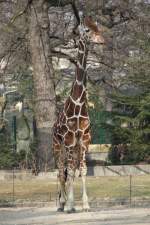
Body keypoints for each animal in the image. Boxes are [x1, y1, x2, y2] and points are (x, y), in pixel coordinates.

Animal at [52, 16, 104, 213]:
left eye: (98, 27)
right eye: (87, 30)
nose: (102, 40)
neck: (79, 103)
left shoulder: (84, 139)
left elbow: (80, 170)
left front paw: (86, 205)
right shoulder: (69, 140)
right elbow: (70, 172)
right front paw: (70, 205)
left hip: (71, 147)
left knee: (67, 170)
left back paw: (63, 202)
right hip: (57, 145)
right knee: (60, 170)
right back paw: (61, 203)